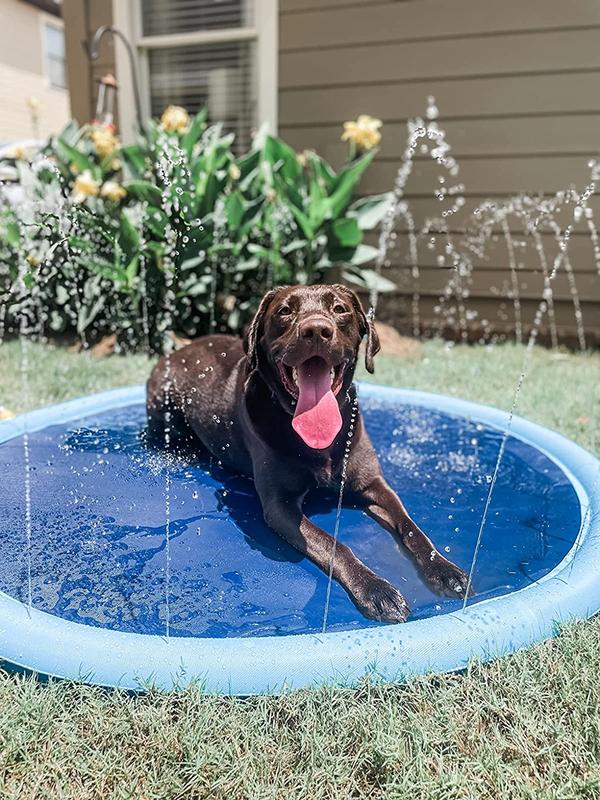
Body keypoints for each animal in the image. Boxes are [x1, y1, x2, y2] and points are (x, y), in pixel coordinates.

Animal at [148, 284, 472, 620]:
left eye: (340, 309)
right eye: (284, 311)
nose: (316, 330)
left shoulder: (374, 485)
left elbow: (411, 527)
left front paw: (444, 569)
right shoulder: (280, 506)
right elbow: (334, 545)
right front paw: (376, 589)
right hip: (164, 405)